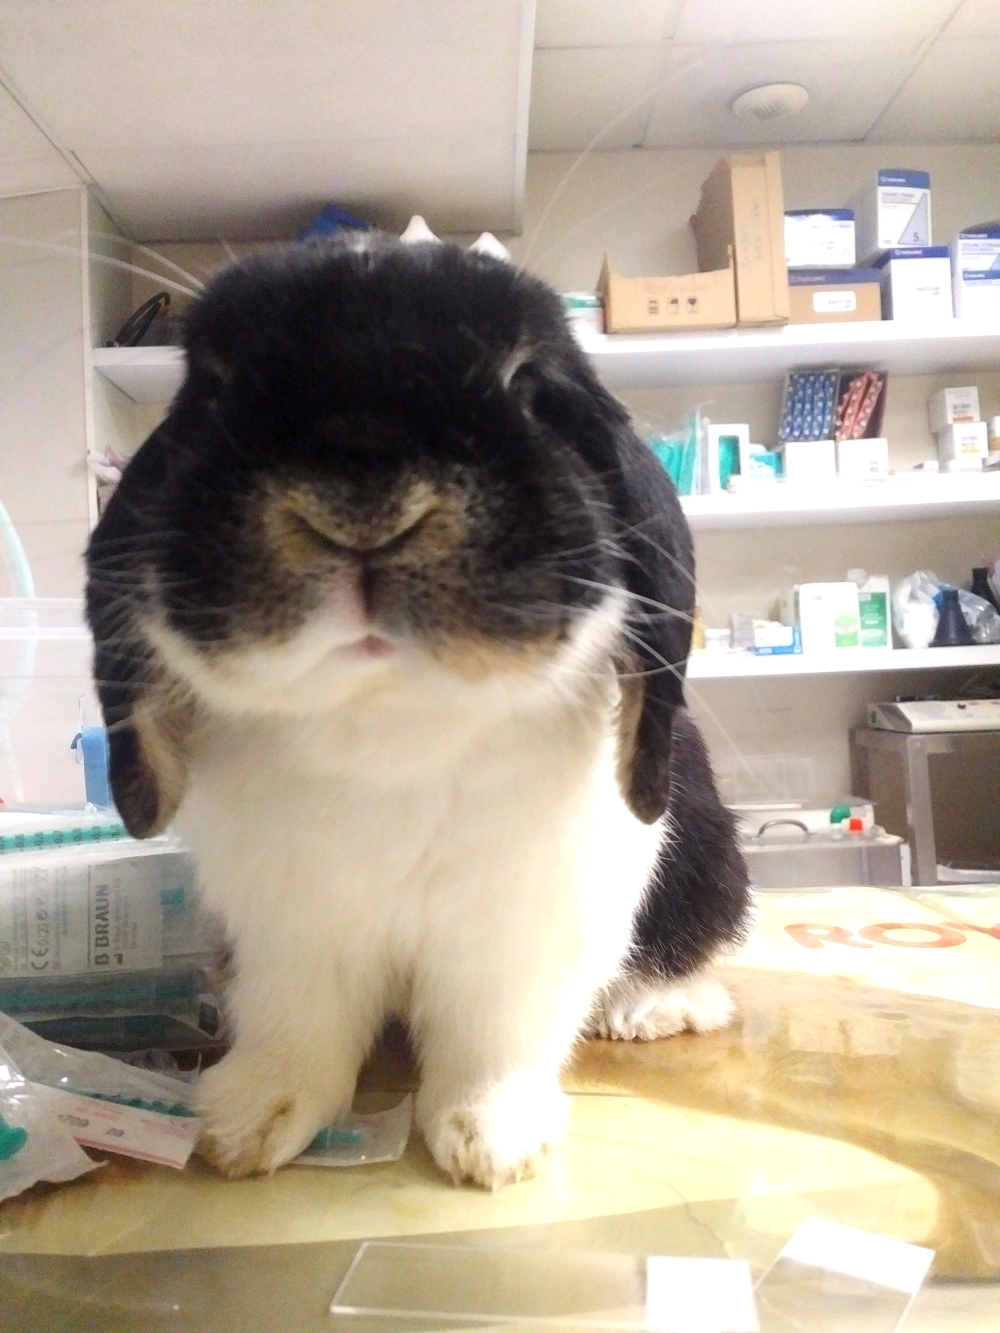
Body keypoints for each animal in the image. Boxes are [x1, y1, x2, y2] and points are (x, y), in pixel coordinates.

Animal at [85, 234, 750, 1189]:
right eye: (214, 387)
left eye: (528, 385)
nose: (364, 493)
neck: (390, 727)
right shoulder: (287, 929)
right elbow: (297, 1028)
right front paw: (242, 1127)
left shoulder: (520, 931)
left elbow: (491, 1039)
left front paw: (493, 1144)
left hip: (703, 858)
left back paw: (651, 1007)